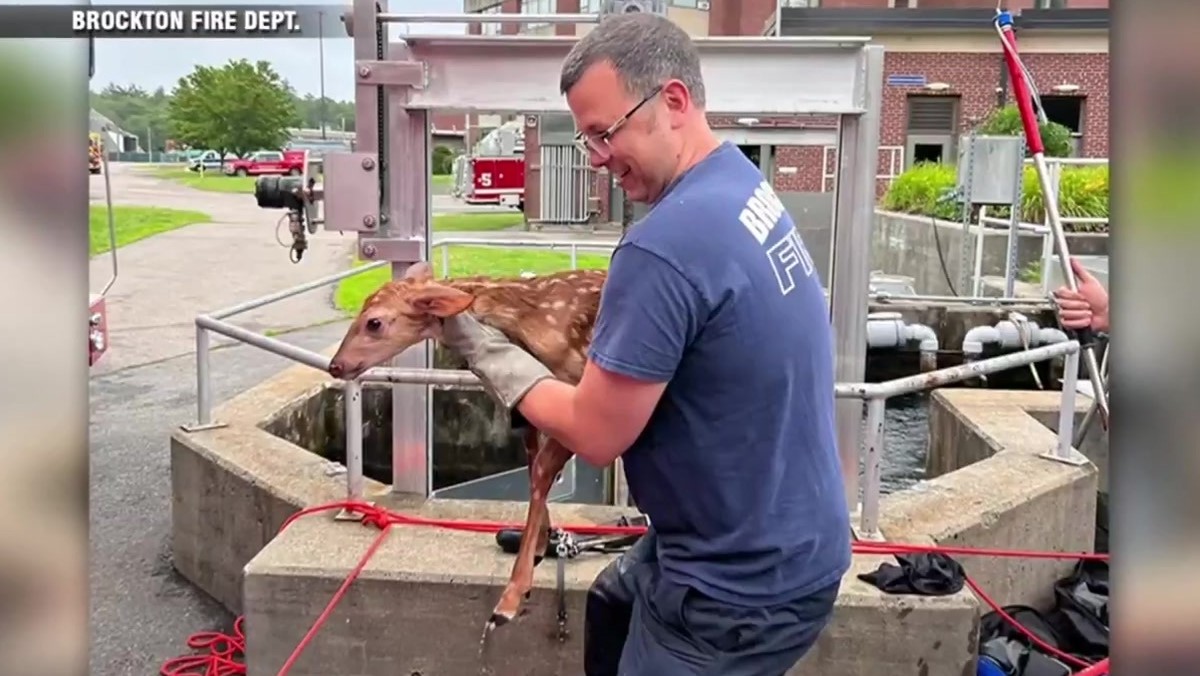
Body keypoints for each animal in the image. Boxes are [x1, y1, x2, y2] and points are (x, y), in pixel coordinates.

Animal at [327, 260, 607, 632]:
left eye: (374, 322)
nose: (335, 365)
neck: (533, 320)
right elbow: (532, 461)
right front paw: (541, 546)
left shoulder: (580, 398)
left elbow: (541, 473)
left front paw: (510, 599)